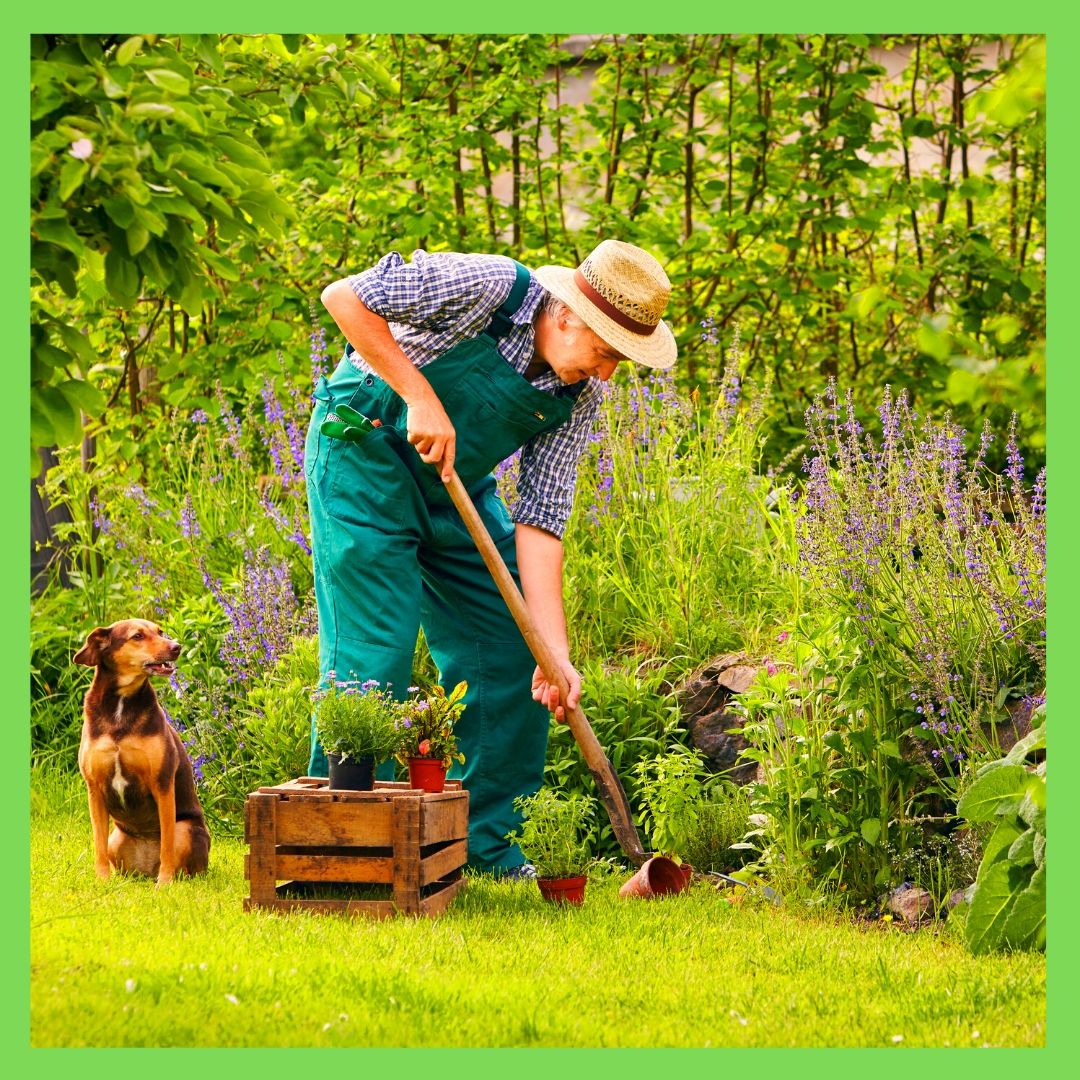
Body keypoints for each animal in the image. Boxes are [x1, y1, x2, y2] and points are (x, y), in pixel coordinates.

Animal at [74, 617, 210, 885]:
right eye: (137, 636)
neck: (121, 704)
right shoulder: (94, 790)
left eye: (160, 631)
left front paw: (165, 884)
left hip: (185, 830)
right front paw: (102, 882)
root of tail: (147, 870)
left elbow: (167, 845)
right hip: (116, 839)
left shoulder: (162, 784)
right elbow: (98, 846)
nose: (176, 646)